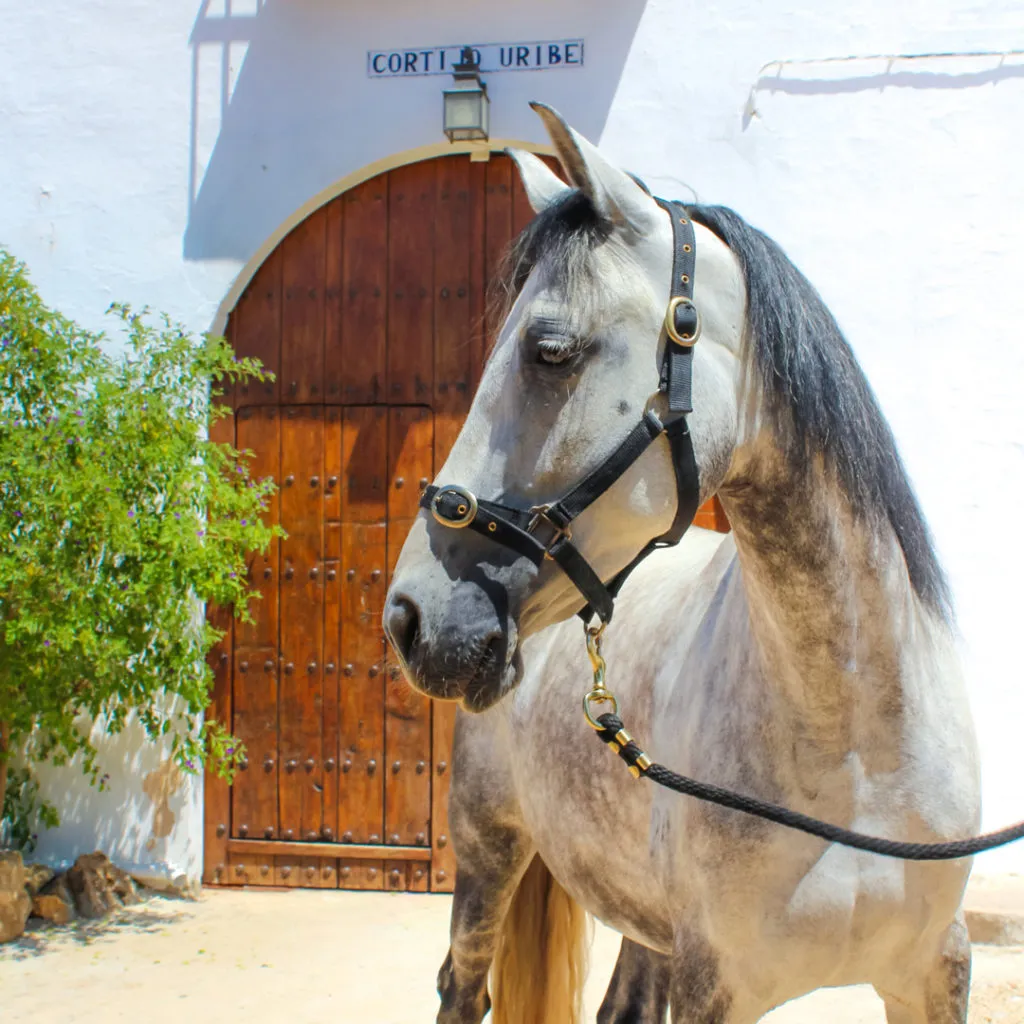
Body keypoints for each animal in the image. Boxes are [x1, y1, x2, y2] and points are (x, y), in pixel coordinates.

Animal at [383, 103, 981, 1023]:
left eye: (550, 349)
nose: (409, 618)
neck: (855, 752)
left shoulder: (933, 970)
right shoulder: (717, 985)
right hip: (489, 851)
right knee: (462, 985)